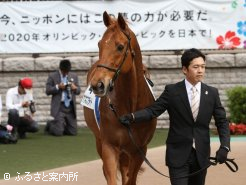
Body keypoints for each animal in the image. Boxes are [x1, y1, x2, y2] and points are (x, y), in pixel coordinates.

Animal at [83, 11, 157, 185]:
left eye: (120, 47)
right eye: (99, 44)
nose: (97, 85)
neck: (130, 109)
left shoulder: (139, 150)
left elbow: (130, 179)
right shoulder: (109, 146)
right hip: (99, 141)